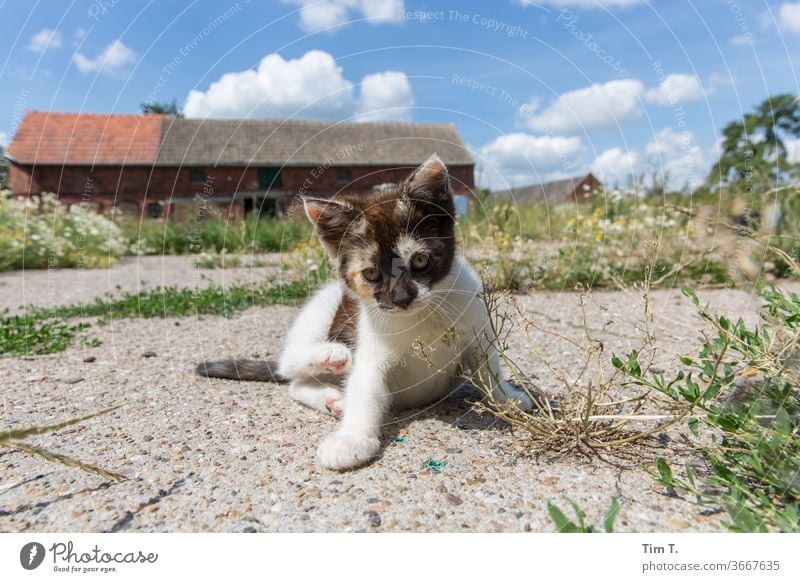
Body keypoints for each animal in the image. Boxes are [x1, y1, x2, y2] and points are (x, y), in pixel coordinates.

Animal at [196, 154, 532, 470]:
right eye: (371, 274)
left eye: (420, 261)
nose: (401, 298)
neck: (419, 316)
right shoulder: (370, 350)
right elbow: (365, 389)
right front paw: (351, 440)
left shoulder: (477, 329)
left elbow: (489, 369)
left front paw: (507, 397)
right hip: (325, 307)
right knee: (290, 367)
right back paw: (329, 359)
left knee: (296, 384)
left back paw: (332, 397)